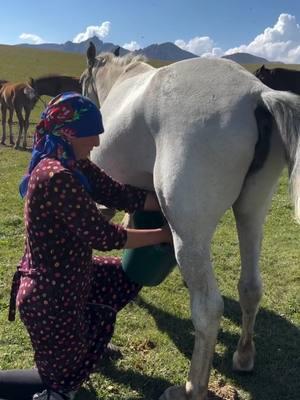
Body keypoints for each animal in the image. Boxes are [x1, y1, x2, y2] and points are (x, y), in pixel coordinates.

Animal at [79, 43, 300, 400]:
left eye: (82, 81)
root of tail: (258, 95)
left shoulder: (103, 196)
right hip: (251, 214)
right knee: (251, 287)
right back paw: (243, 356)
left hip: (190, 236)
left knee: (208, 309)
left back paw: (193, 387)